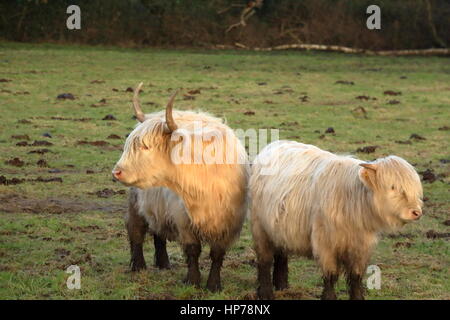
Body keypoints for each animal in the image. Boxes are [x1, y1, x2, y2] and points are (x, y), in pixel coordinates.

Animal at [251, 141, 424, 300]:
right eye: (393, 187)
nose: (416, 212)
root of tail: (275, 144)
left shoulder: (361, 246)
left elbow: (356, 276)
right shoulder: (325, 244)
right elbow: (331, 275)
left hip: (280, 229)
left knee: (281, 255)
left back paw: (282, 285)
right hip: (260, 228)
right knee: (265, 260)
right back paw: (266, 293)